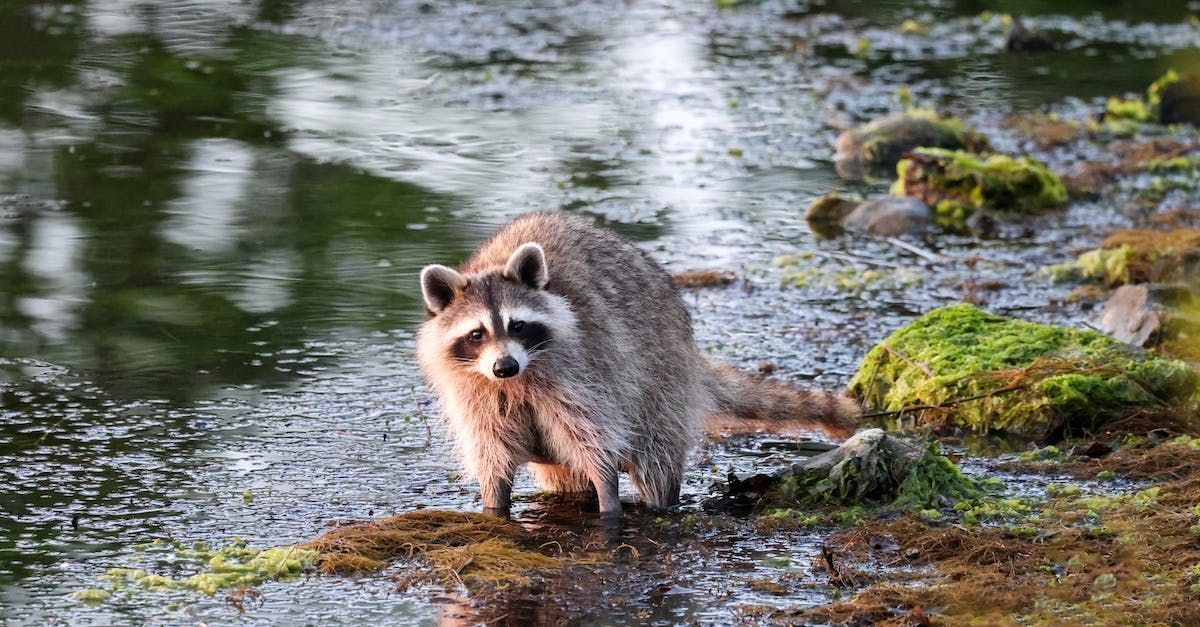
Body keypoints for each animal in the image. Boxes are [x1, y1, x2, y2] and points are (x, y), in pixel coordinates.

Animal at [417, 212, 859, 514]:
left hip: (662, 377)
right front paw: (493, 506)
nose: (505, 366)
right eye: (477, 334)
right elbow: (492, 456)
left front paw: (608, 498)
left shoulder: (586, 371)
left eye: (518, 325)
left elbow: (597, 442)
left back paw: (662, 502)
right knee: (565, 477)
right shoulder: (476, 394)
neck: (516, 381)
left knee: (656, 457)